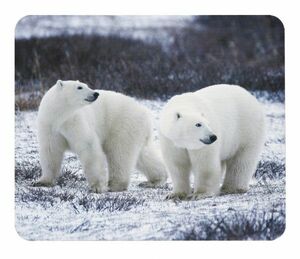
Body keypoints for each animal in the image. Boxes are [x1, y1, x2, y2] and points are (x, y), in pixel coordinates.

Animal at [36, 80, 168, 193]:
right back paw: (155, 180)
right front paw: (42, 181)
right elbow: (51, 151)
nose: (95, 93)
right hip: (134, 130)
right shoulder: (49, 126)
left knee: (119, 153)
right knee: (142, 155)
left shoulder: (76, 121)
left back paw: (115, 185)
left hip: (122, 125)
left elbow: (89, 147)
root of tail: (146, 114)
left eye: (86, 85)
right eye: (79, 87)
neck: (60, 116)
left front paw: (97, 187)